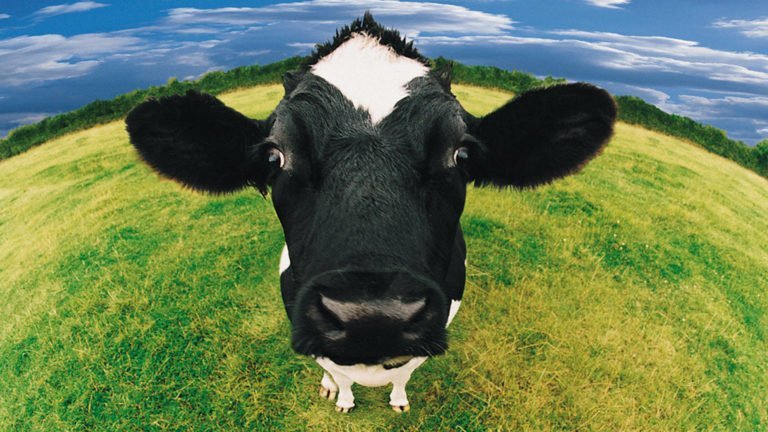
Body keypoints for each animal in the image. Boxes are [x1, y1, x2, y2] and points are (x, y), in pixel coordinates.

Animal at [125, 13, 616, 413]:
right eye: (274, 157)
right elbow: (338, 372)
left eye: (461, 154)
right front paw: (341, 397)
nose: (372, 316)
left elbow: (405, 372)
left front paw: (397, 399)